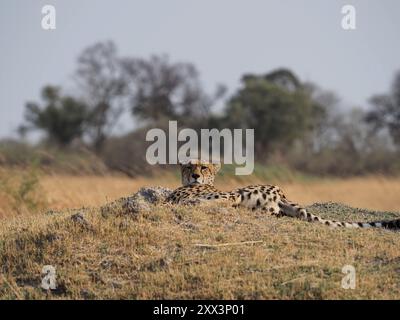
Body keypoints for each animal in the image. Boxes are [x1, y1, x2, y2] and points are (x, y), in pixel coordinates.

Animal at [165, 159, 400, 230]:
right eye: (189, 166)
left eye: (204, 167)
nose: (195, 175)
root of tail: (281, 191)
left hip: (241, 192)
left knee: (229, 199)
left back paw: (192, 204)